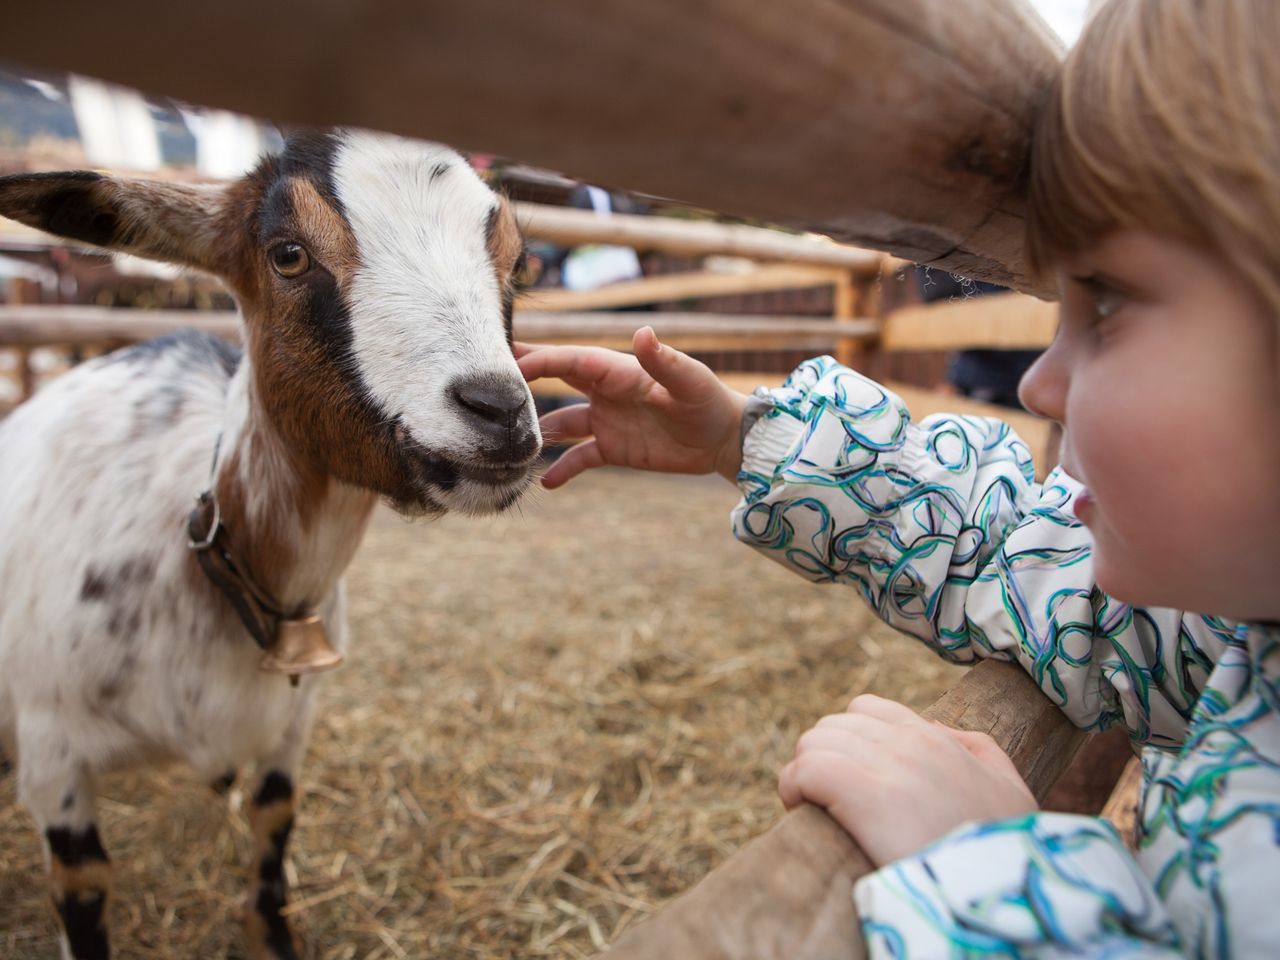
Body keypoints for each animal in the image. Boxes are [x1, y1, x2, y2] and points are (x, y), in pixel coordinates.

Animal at [0, 129, 542, 960]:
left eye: (518, 263)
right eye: (288, 254)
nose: (501, 412)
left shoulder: (293, 724)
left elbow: (273, 824)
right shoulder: (53, 752)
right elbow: (84, 888)